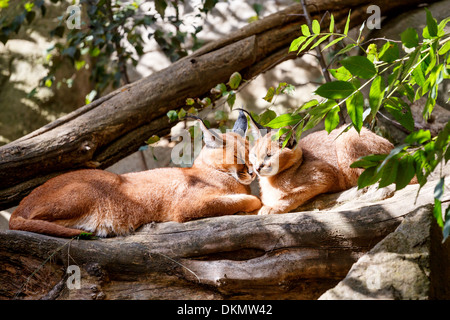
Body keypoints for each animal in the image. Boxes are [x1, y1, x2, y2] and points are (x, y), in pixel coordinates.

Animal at [241, 110, 392, 215]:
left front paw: (271, 207)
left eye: (269, 156)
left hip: (347, 137)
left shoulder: (325, 175)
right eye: (254, 155)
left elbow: (294, 195)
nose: (257, 168)